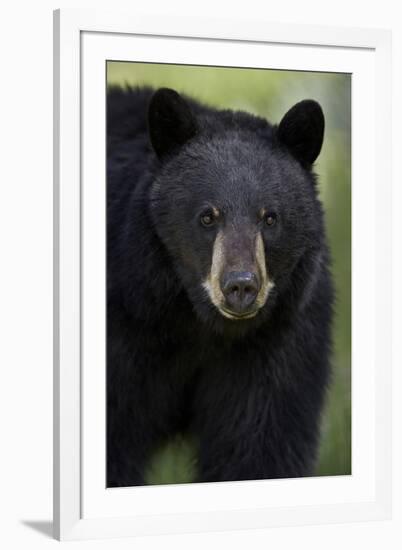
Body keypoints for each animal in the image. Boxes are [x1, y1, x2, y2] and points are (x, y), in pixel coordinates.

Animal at [107, 85, 332, 488]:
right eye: (208, 216)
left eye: (270, 218)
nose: (240, 286)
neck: (198, 325)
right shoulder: (125, 320)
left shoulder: (281, 337)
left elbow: (261, 443)